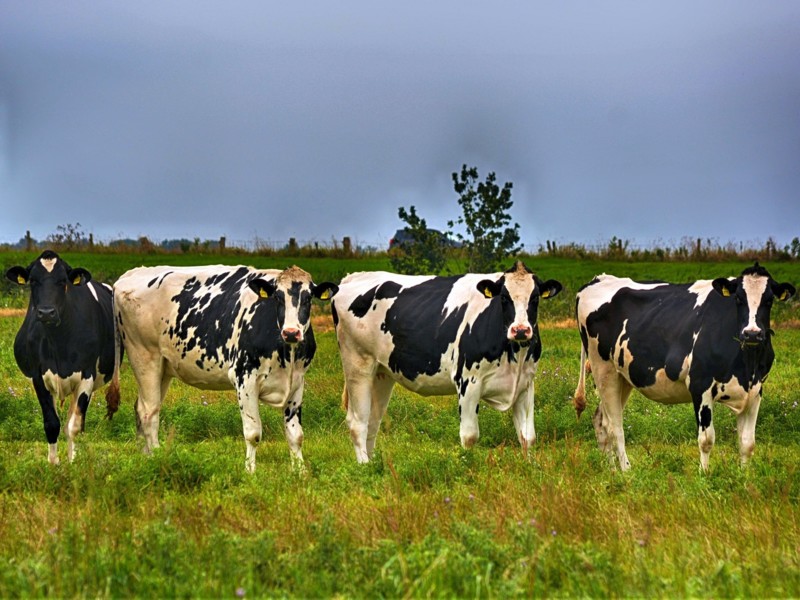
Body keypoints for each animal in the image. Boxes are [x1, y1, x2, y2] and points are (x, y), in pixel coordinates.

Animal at [4, 248, 120, 464]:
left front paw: (72, 462)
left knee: (76, 420)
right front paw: (53, 464)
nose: (46, 312)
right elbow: (52, 424)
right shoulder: (38, 377)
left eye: (62, 281)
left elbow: (73, 425)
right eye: (33, 281)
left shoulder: (86, 376)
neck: (58, 341)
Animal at [112, 264, 338, 472]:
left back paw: (144, 458)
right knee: (149, 412)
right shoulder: (244, 379)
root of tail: (130, 274)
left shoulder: (297, 381)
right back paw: (157, 458)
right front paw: (250, 473)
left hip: (163, 368)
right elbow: (253, 433)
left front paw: (300, 473)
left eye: (308, 299)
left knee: (142, 408)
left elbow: (295, 435)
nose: (291, 332)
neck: (286, 353)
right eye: (278, 297)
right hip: (145, 357)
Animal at [332, 260, 564, 462]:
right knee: (357, 422)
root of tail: (352, 278)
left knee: (373, 421)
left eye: (535, 298)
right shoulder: (468, 381)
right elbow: (469, 436)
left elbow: (528, 437)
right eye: (504, 298)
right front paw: (468, 467)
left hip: (381, 373)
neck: (514, 354)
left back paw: (374, 465)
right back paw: (364, 467)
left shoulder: (525, 384)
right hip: (357, 364)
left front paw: (530, 467)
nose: (521, 330)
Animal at [576, 264, 792, 472]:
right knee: (614, 427)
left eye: (769, 300)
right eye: (738, 298)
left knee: (600, 420)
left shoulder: (755, 391)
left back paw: (611, 471)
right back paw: (626, 471)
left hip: (623, 376)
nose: (752, 333)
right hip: (603, 369)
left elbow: (747, 443)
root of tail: (600, 278)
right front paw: (704, 475)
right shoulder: (700, 385)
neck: (747, 365)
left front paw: (744, 477)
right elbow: (706, 439)